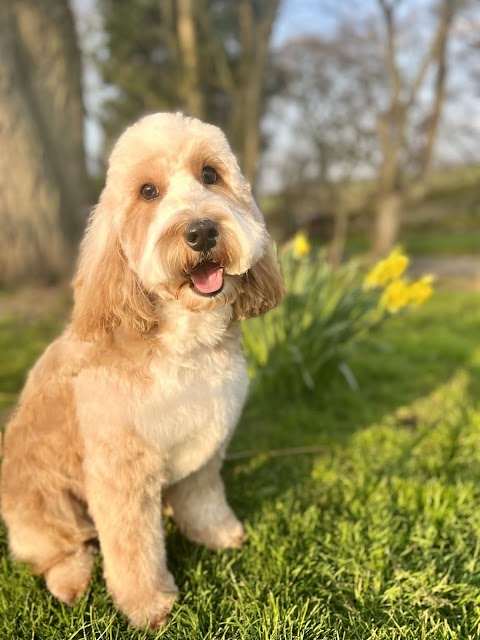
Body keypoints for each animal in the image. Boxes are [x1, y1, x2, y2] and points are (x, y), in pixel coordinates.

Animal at [0, 114, 284, 632]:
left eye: (210, 174)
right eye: (148, 191)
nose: (201, 231)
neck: (183, 342)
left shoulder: (207, 440)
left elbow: (203, 496)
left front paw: (218, 532)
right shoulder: (121, 471)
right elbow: (133, 545)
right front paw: (148, 604)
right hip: (45, 504)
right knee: (62, 550)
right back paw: (70, 582)